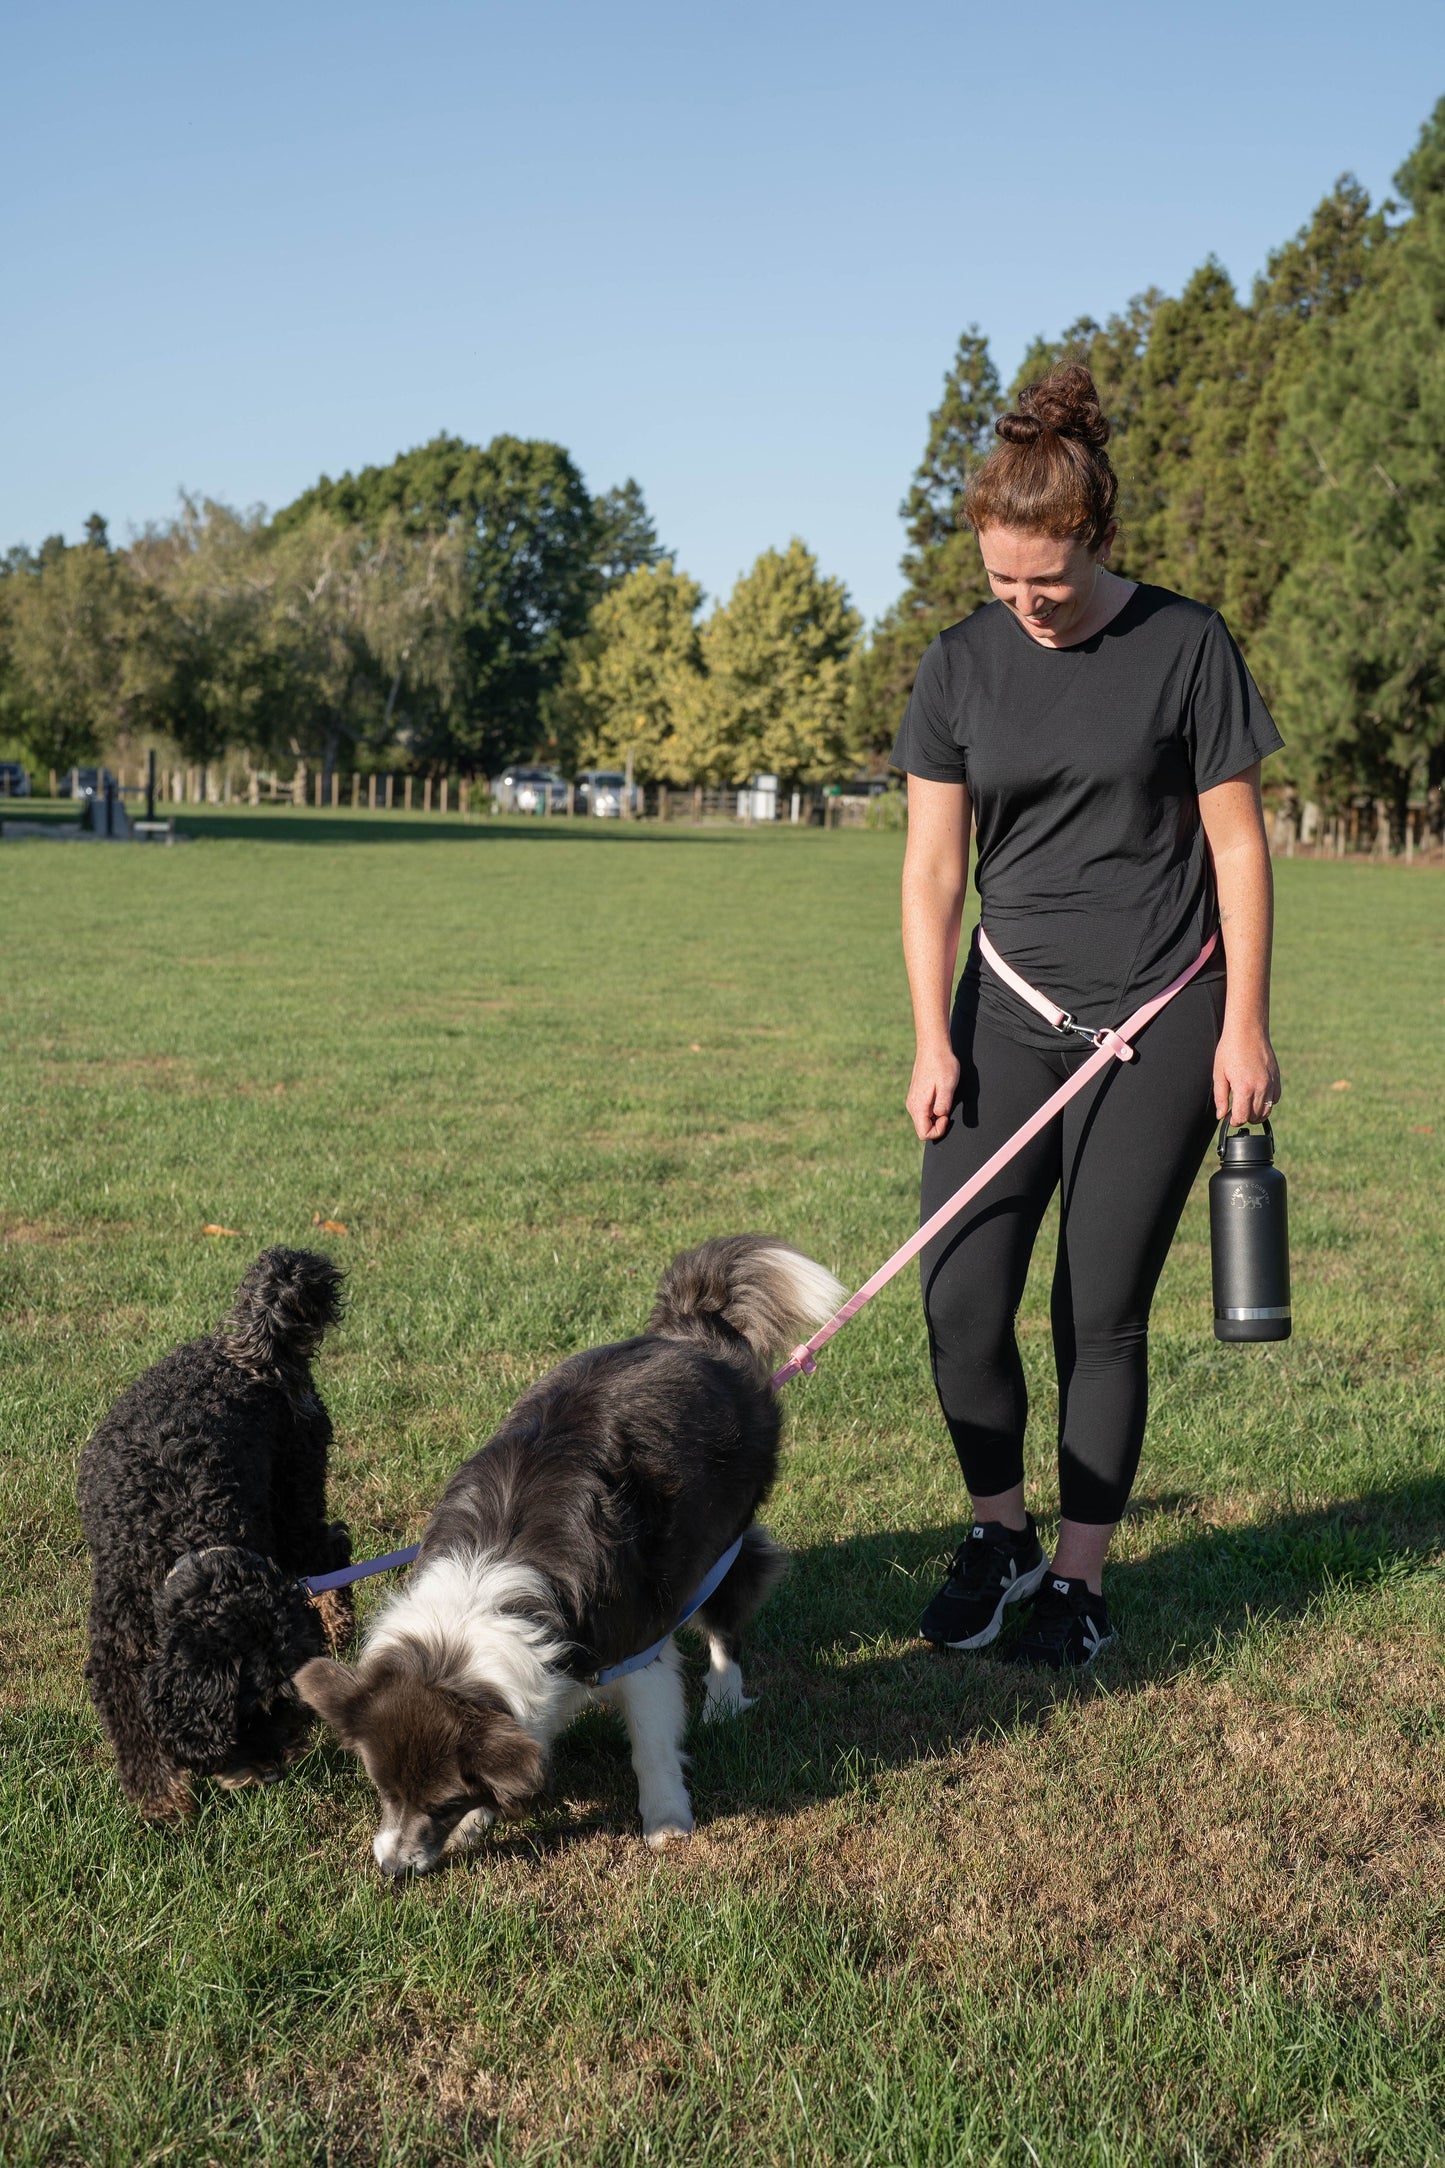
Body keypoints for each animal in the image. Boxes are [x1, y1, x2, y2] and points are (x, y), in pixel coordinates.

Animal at [79, 1248, 353, 1821]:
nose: (271, 1774)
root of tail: (253, 1353)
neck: (184, 1539)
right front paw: (163, 1801)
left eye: (287, 1708)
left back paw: (338, 1619)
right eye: (249, 1713)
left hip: (293, 1495)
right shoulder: (116, 1646)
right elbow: (134, 1728)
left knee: (331, 1549)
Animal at [298, 1240, 840, 1864]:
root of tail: (692, 1325)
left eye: (442, 1801)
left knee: (726, 1619)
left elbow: (651, 1746)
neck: (485, 1594)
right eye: (383, 1790)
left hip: (719, 1543)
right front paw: (477, 1822)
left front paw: (666, 1820)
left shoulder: (639, 1649)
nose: (390, 1871)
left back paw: (724, 1700)